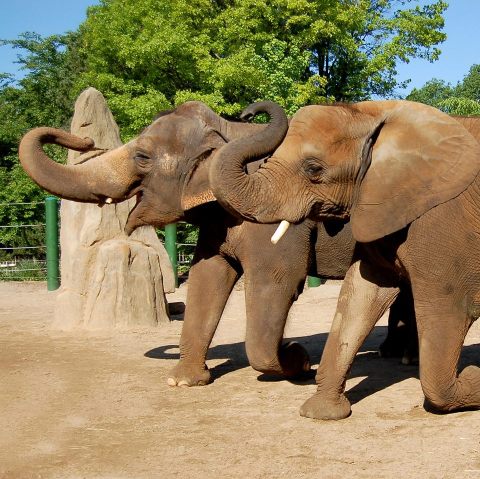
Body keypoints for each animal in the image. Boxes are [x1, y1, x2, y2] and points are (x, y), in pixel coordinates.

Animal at [211, 101, 480, 420]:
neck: (373, 114)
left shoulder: (443, 220)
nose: (248, 113)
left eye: (313, 168)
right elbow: (360, 295)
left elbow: (451, 308)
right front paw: (322, 413)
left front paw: (475, 375)